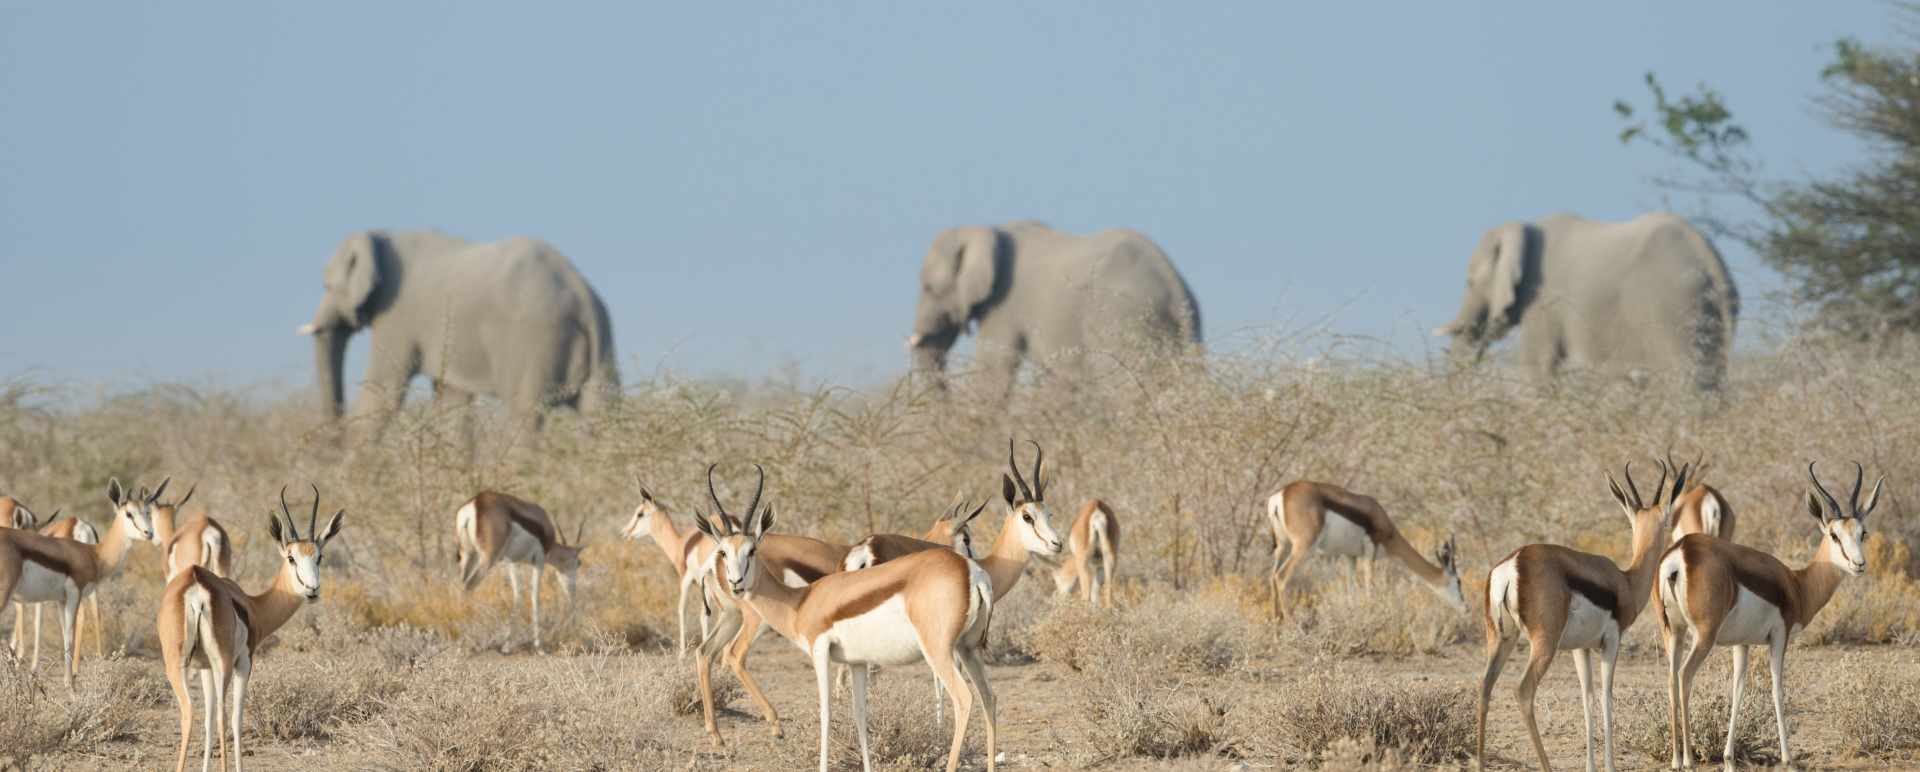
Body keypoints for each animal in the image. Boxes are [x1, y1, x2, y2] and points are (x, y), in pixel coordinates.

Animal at [298, 230, 619, 432]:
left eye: (327, 285)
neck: (382, 235)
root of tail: (583, 297)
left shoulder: (398, 315)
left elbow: (383, 392)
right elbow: (451, 402)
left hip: (535, 342)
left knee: (525, 414)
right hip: (601, 347)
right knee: (600, 411)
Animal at [1435, 212, 1738, 390]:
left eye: (1470, 282)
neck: (1524, 230)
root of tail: (1712, 261)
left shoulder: (1543, 300)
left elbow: (1537, 367)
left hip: (1673, 308)